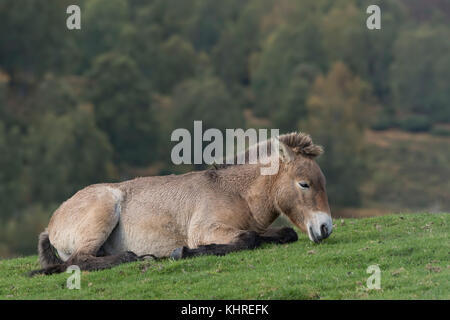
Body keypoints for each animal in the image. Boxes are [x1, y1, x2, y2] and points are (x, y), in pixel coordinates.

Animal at [29, 132, 332, 276]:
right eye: (304, 184)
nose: (325, 228)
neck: (234, 192)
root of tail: (52, 224)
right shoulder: (205, 230)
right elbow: (248, 239)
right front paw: (183, 252)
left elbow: (282, 233)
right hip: (104, 207)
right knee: (81, 259)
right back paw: (134, 257)